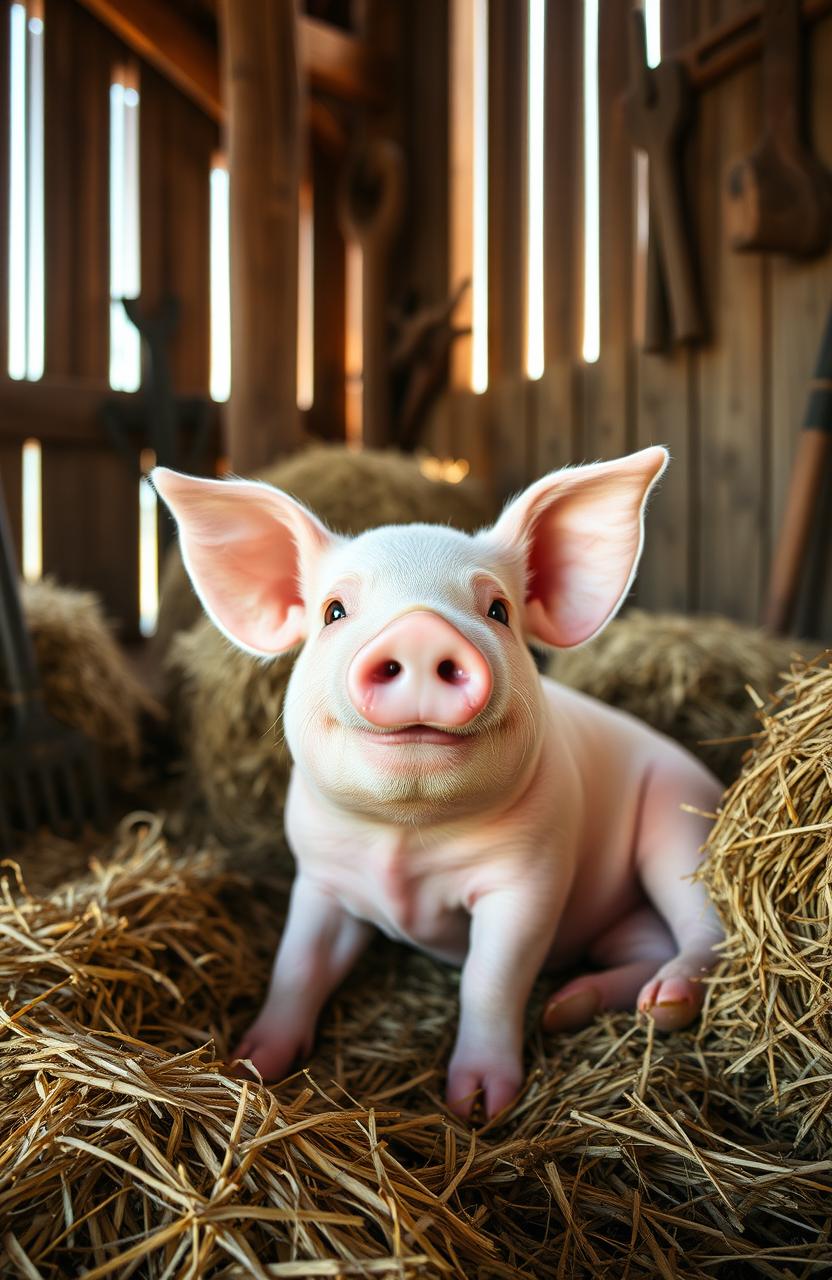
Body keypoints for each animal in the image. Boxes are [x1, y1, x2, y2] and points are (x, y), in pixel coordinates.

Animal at [153, 450, 716, 1121]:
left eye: (498, 610)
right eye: (333, 611)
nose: (420, 632)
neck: (405, 842)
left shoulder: (528, 881)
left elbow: (490, 979)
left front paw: (477, 1107)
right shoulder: (321, 878)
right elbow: (298, 965)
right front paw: (251, 1066)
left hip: (681, 827)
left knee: (707, 931)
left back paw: (664, 1002)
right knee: (645, 949)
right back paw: (569, 1008)